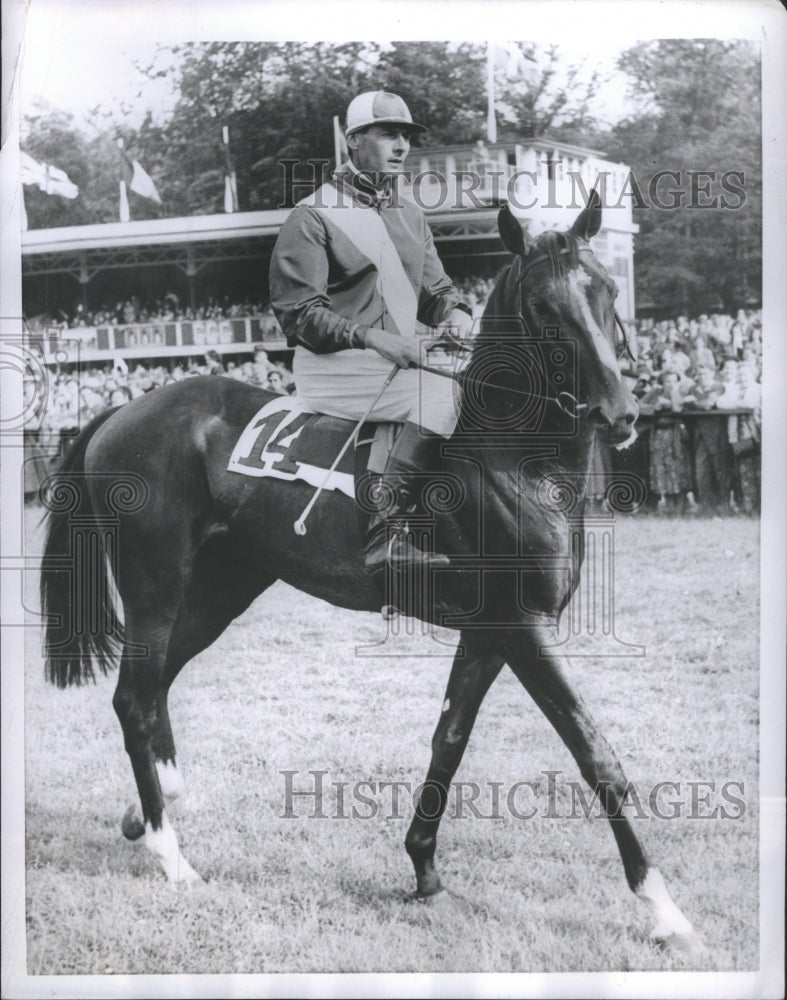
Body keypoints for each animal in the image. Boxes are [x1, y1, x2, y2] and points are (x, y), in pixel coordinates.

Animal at [38, 193, 700, 952]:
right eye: (541, 306)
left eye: (607, 290)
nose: (618, 413)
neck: (512, 459)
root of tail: (126, 408)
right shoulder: (523, 627)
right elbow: (595, 755)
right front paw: (663, 908)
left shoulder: (486, 632)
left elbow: (448, 742)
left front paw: (424, 872)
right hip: (154, 584)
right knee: (134, 697)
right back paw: (171, 854)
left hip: (220, 589)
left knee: (154, 690)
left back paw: (147, 814)